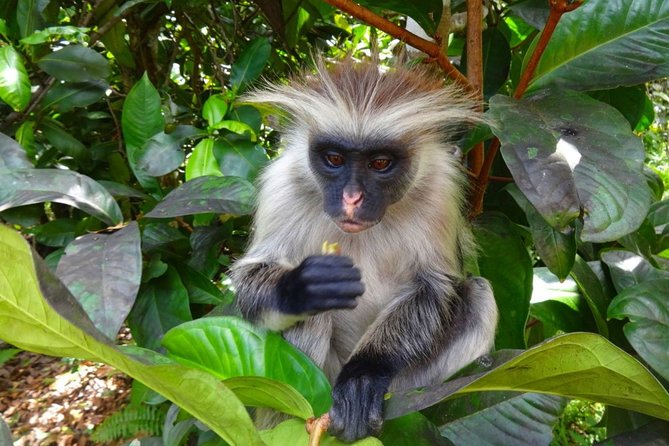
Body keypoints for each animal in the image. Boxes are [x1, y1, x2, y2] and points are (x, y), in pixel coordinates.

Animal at [230, 57, 498, 443]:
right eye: (334, 159)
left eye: (380, 163)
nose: (352, 198)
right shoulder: (282, 184)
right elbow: (252, 275)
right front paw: (299, 287)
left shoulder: (439, 192)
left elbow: (434, 287)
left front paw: (363, 374)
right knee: (314, 314)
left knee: (477, 291)